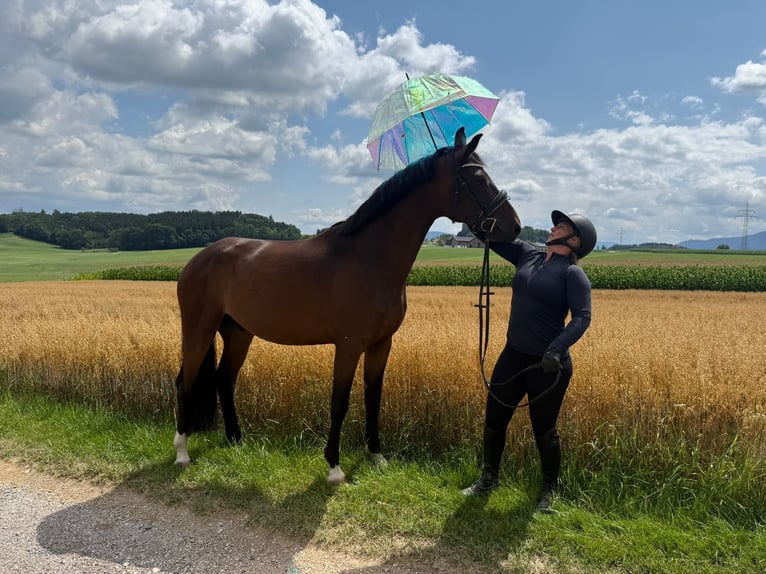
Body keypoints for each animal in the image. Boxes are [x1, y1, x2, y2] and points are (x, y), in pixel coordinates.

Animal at [173, 127, 521, 484]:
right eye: (478, 179)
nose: (515, 226)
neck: (367, 259)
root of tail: (198, 259)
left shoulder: (381, 344)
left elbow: (373, 397)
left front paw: (376, 456)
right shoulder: (348, 345)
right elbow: (339, 402)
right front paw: (334, 467)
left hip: (239, 333)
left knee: (223, 379)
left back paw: (235, 439)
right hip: (199, 330)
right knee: (185, 381)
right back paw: (182, 451)